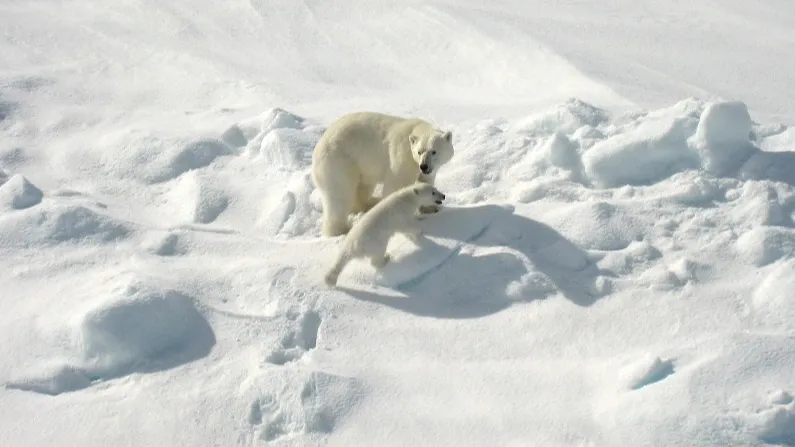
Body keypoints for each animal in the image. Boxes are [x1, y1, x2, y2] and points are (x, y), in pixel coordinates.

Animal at [314, 112, 458, 238]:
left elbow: (426, 182)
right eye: (419, 151)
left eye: (434, 151)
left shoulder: (427, 170)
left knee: (363, 187)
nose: (424, 166)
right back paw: (341, 230)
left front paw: (431, 208)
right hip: (339, 162)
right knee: (339, 196)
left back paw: (371, 203)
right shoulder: (402, 157)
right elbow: (396, 185)